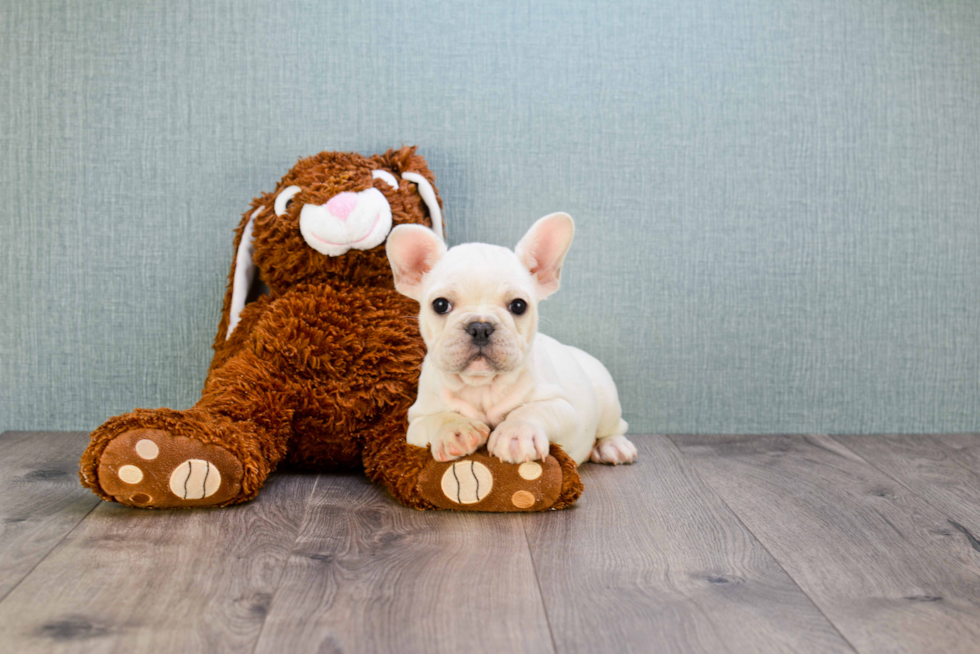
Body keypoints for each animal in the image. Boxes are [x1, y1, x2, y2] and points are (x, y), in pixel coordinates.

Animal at [386, 213, 640, 468]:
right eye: (440, 305)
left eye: (519, 305)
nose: (480, 327)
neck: (482, 385)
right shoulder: (416, 421)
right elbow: (437, 419)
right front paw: (456, 431)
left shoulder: (565, 409)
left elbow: (533, 409)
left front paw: (516, 433)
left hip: (607, 401)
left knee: (615, 427)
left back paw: (614, 446)